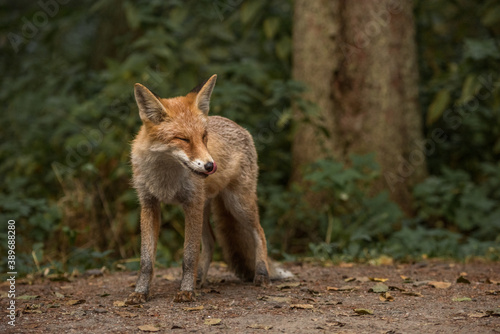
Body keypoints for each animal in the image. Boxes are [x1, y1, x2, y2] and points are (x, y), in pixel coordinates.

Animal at [126, 74, 292, 304]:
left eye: (204, 137)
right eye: (183, 139)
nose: (210, 166)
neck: (166, 177)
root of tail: (237, 125)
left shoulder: (191, 204)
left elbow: (188, 256)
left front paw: (186, 291)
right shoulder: (149, 204)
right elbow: (146, 260)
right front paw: (140, 292)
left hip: (238, 203)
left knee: (259, 231)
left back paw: (261, 274)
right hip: (206, 208)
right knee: (211, 242)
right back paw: (200, 280)